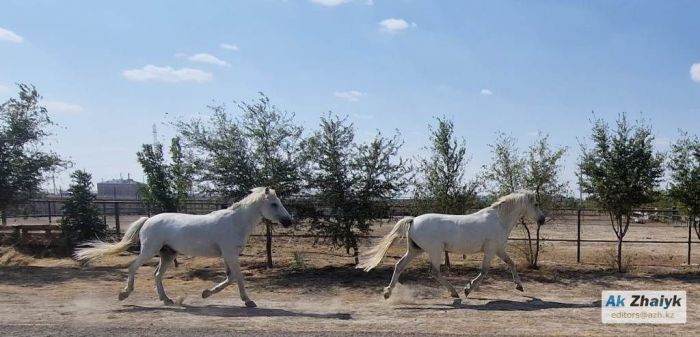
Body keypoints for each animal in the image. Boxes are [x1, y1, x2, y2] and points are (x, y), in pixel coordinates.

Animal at [75, 186, 294, 308]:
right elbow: (238, 277)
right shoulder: (230, 254)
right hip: (149, 250)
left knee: (157, 275)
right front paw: (248, 301)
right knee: (133, 267)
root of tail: (148, 220)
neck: (235, 222)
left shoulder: (227, 255)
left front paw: (206, 293)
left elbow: (231, 278)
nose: (288, 221)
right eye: (274, 204)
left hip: (167, 254)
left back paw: (167, 300)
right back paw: (124, 294)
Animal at [360, 190, 548, 300]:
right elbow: (484, 271)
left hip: (415, 250)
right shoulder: (490, 250)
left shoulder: (499, 250)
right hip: (434, 251)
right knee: (435, 272)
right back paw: (454, 292)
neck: (499, 220)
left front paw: (520, 286)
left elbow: (511, 263)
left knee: (399, 266)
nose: (542, 220)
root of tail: (413, 220)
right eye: (536, 204)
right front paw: (467, 289)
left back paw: (387, 293)